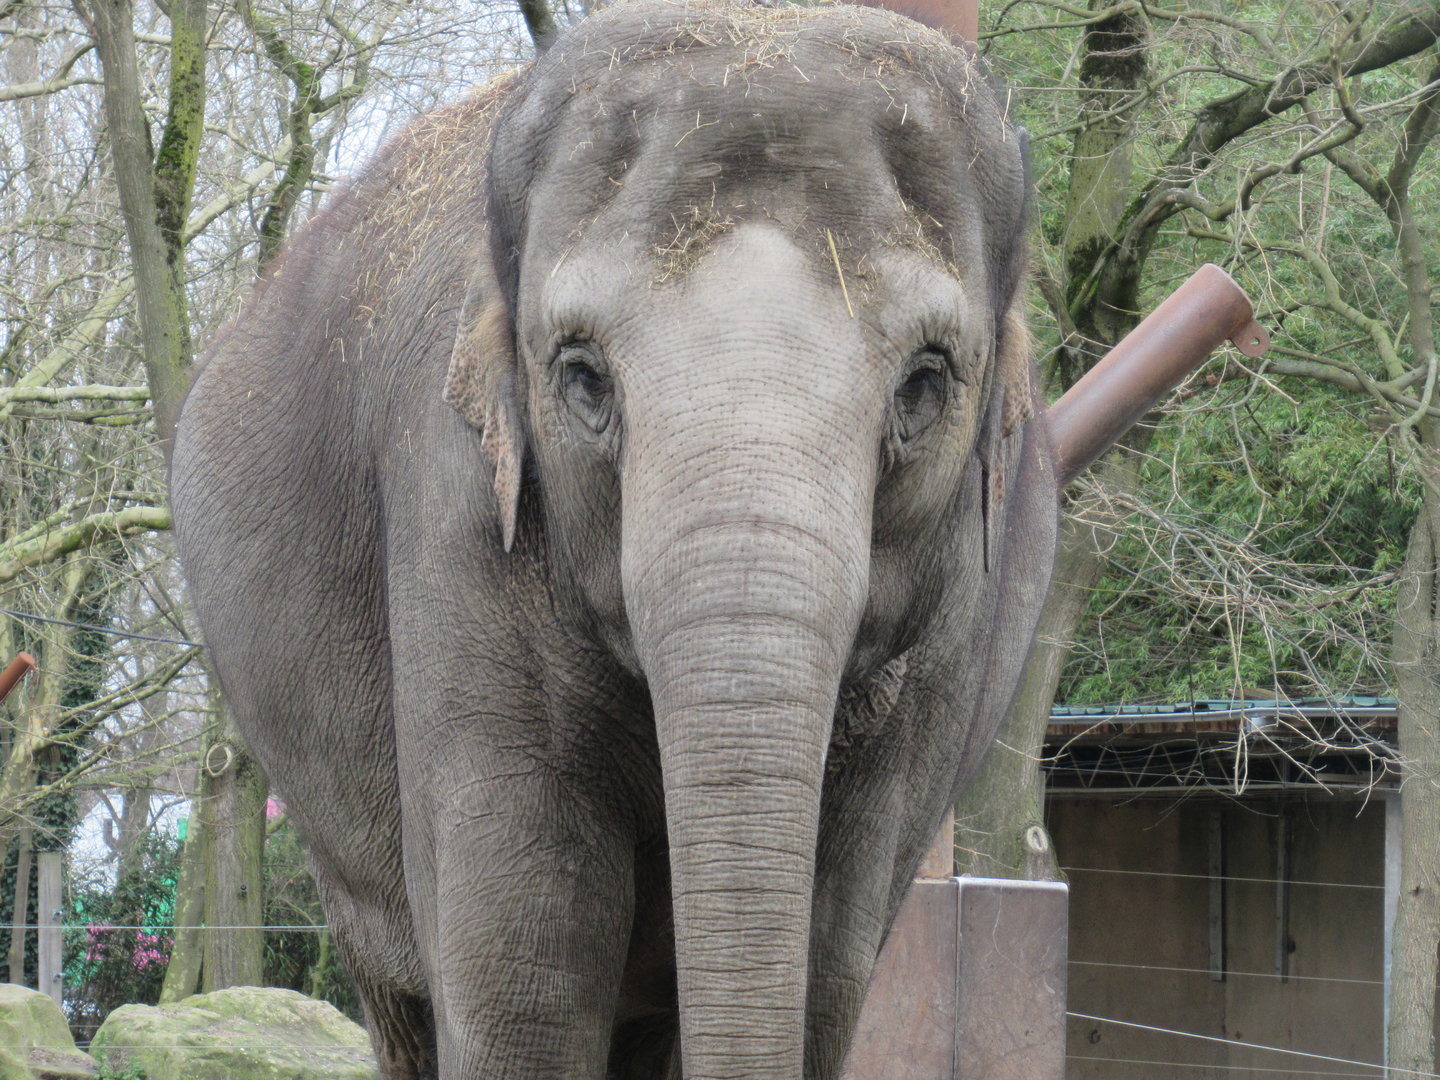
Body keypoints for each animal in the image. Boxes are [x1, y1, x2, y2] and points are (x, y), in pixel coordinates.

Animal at [169, 1, 1056, 1077]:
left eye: (925, 383)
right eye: (584, 376)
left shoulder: (948, 645)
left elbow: (825, 965)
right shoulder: (458, 513)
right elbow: (527, 984)